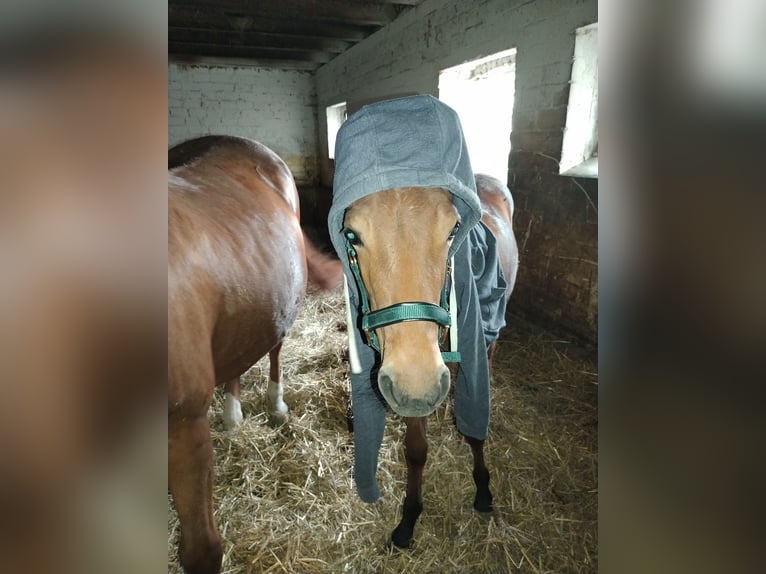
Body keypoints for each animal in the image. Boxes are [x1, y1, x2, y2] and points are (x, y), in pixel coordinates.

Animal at [328, 97, 520, 552]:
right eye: (352, 235)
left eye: (454, 230)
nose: (417, 385)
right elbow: (416, 449)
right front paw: (409, 517)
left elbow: (476, 425)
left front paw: (482, 487)